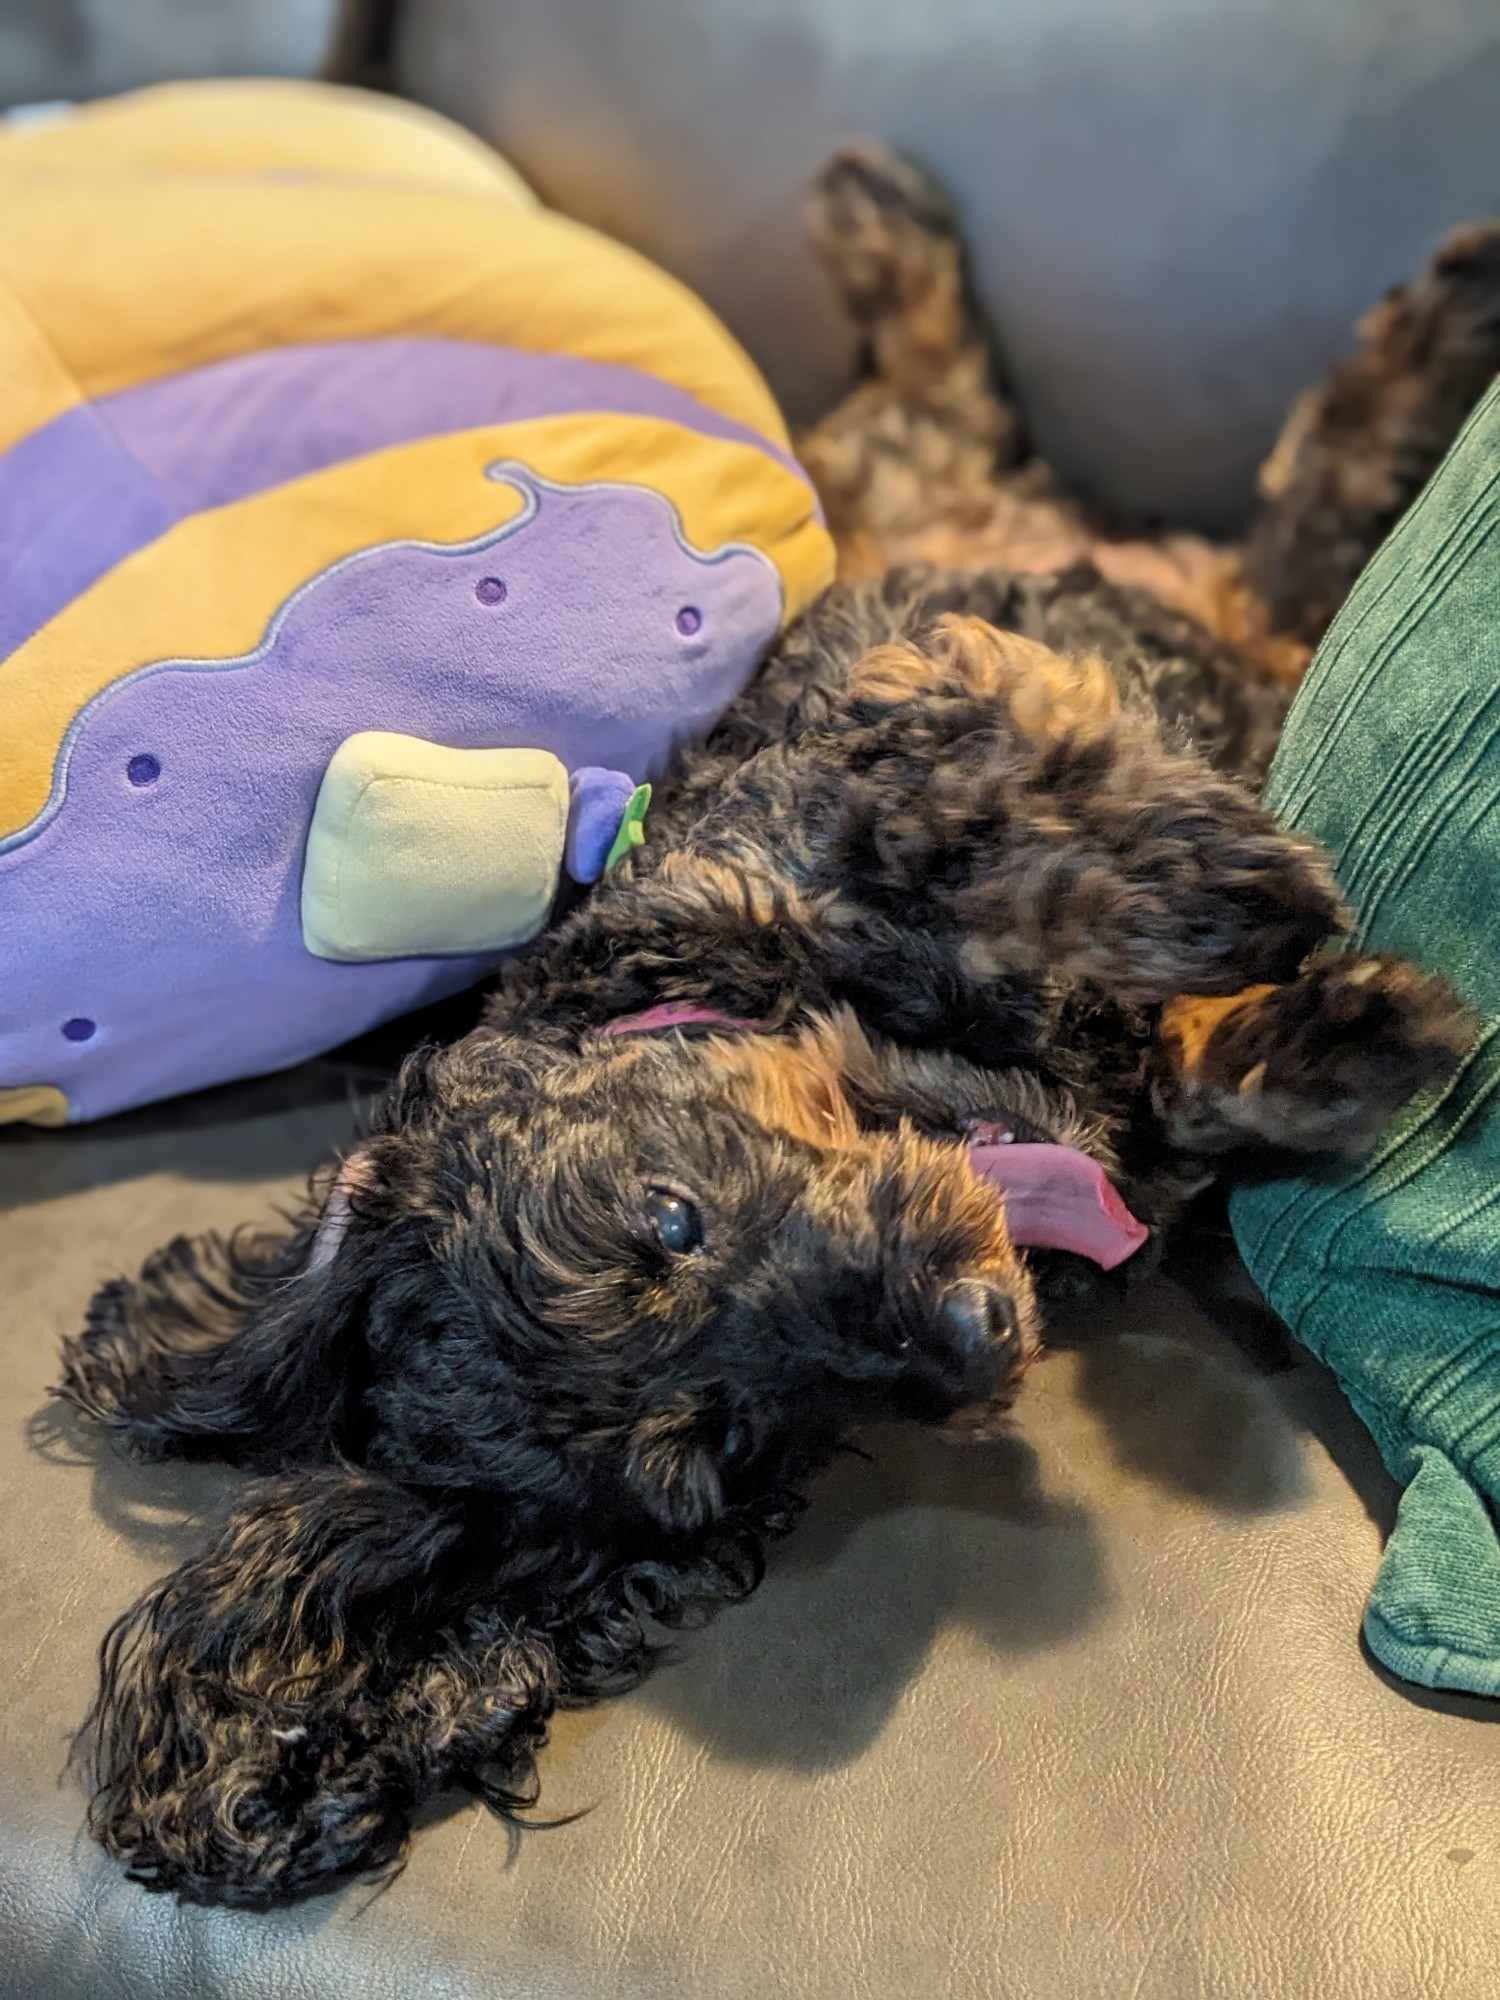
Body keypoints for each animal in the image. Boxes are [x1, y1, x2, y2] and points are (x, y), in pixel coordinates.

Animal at [53, 145, 1496, 1904]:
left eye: (668, 1218)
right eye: (722, 1451)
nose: (973, 1336)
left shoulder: (876, 741)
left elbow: (980, 821)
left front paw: (1219, 887)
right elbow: (1200, 1093)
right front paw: (1341, 1040)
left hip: (953, 517)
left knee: (1145, 450)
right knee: (1250, 498)